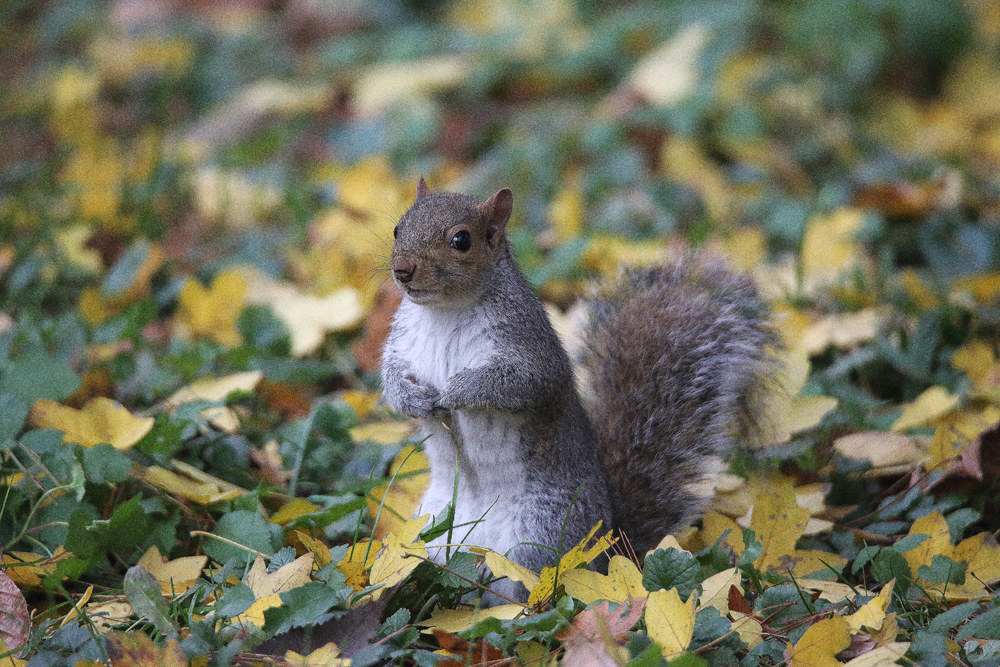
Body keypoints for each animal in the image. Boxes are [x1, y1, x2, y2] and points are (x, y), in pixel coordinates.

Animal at [380, 178, 780, 604]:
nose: (402, 270)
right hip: (429, 532)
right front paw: (414, 399)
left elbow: (520, 382)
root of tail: (610, 548)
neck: (445, 312)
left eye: (461, 240)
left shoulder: (529, 348)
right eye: (398, 229)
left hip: (541, 537)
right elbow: (390, 377)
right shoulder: (401, 344)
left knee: (531, 593)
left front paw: (459, 389)